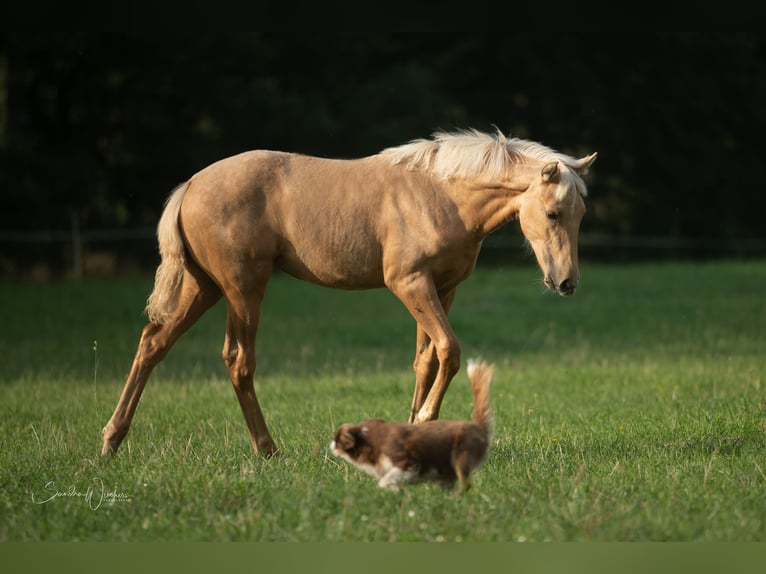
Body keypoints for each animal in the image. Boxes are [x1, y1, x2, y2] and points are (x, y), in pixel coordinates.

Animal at [100, 130, 592, 460]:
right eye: (553, 213)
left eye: (581, 214)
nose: (567, 283)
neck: (441, 194)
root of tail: (191, 185)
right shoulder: (409, 284)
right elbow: (450, 351)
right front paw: (424, 419)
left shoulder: (441, 289)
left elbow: (426, 360)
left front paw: (410, 435)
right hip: (243, 289)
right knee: (238, 360)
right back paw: (268, 450)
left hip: (203, 288)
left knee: (153, 344)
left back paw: (111, 441)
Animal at [332, 362, 496, 492]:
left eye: (337, 437)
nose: (331, 444)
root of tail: (479, 428)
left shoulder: (408, 463)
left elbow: (389, 479)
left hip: (460, 457)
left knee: (464, 484)